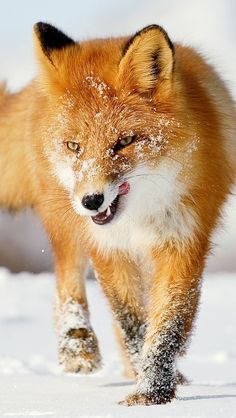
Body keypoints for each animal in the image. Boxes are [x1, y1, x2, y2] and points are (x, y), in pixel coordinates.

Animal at [0, 22, 236, 404]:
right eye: (74, 146)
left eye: (124, 142)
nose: (92, 201)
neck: (138, 217)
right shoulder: (108, 247)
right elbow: (131, 322)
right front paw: (148, 388)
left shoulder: (182, 241)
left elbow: (167, 324)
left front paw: (152, 391)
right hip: (64, 220)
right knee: (67, 281)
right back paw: (78, 347)